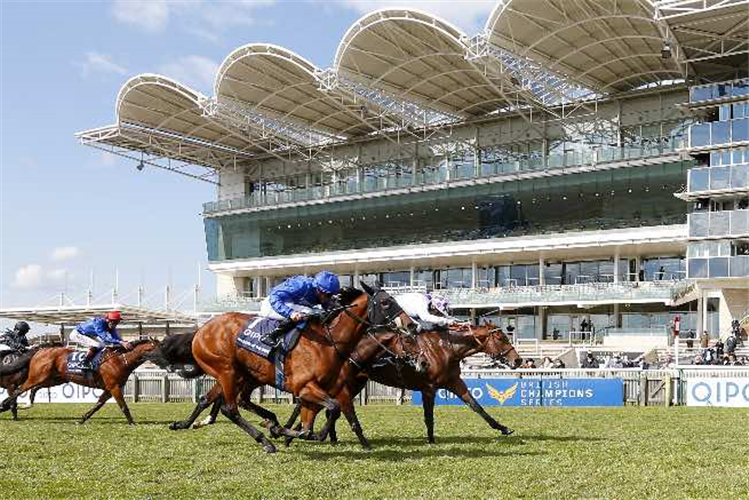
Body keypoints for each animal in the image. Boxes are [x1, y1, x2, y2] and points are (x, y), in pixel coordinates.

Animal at [0, 338, 159, 424]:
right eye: (160, 348)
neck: (120, 359)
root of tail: (39, 351)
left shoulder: (110, 389)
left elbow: (98, 405)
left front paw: (82, 419)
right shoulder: (114, 387)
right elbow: (124, 406)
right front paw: (132, 423)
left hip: (53, 379)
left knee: (32, 388)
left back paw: (19, 404)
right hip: (38, 376)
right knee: (20, 389)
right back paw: (5, 404)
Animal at [145, 282, 414, 454]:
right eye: (386, 302)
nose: (411, 324)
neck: (329, 342)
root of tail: (200, 330)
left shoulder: (315, 393)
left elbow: (314, 422)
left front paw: (286, 430)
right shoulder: (307, 388)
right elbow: (333, 411)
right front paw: (284, 433)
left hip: (247, 375)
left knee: (232, 401)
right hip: (226, 370)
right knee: (230, 408)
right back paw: (265, 441)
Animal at [284, 324, 520, 446]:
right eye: (501, 338)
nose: (518, 360)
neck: (445, 349)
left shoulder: (454, 382)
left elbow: (476, 406)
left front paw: (502, 427)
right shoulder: (428, 388)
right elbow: (429, 416)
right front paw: (431, 440)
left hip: (355, 382)